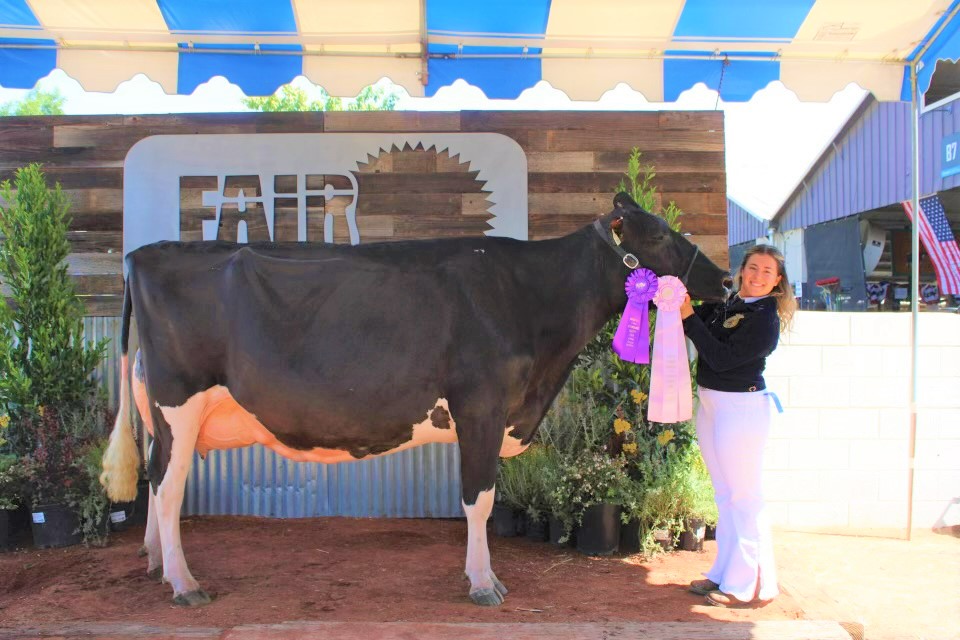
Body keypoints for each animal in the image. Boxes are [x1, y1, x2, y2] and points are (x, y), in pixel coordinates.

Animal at [101, 192, 728, 608]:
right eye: (659, 234)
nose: (724, 281)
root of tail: (140, 255)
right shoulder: (481, 407)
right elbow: (478, 499)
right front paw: (484, 584)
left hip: (161, 415)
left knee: (156, 480)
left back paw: (157, 565)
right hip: (178, 403)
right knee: (167, 488)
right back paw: (185, 585)